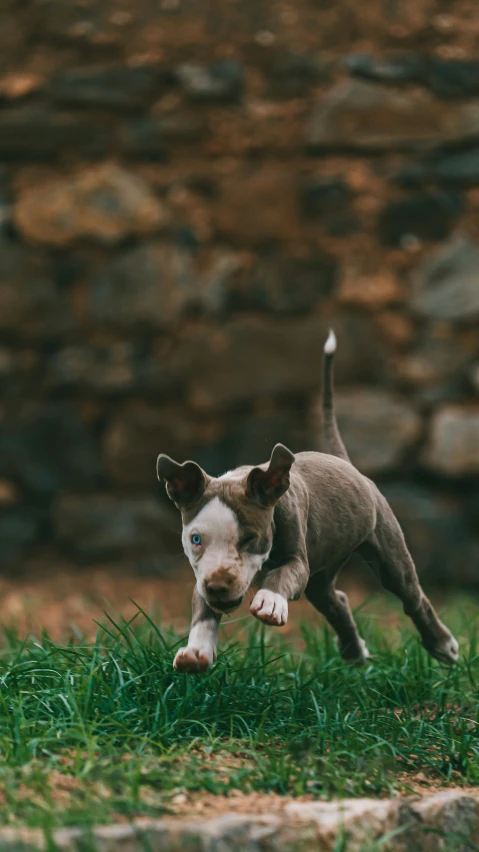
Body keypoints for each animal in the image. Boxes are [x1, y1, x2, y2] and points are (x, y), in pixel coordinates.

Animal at [157, 332, 458, 672]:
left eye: (250, 538)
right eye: (195, 539)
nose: (219, 587)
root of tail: (349, 465)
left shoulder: (296, 557)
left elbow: (284, 574)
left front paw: (271, 601)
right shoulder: (202, 577)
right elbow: (202, 610)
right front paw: (195, 652)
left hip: (388, 549)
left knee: (413, 597)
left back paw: (443, 646)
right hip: (324, 567)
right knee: (334, 600)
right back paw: (354, 651)